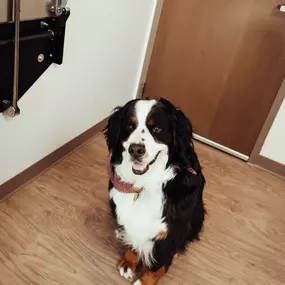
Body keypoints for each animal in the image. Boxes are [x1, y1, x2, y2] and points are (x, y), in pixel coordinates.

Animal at [103, 97, 205, 284]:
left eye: (157, 128)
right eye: (130, 126)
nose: (136, 149)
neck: (144, 185)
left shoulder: (170, 231)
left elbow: (158, 263)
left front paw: (144, 281)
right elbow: (133, 239)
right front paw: (128, 262)